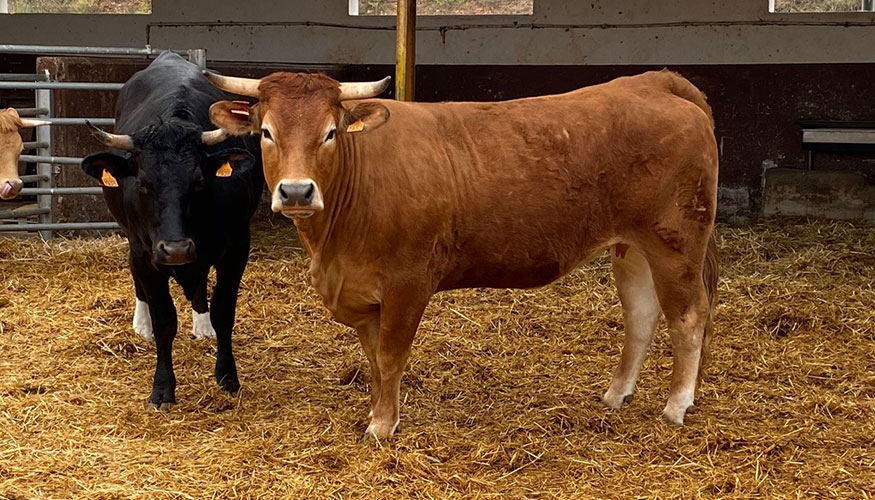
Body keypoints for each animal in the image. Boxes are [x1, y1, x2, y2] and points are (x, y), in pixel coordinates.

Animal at [82, 52, 264, 408]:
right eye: (143, 183)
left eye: (198, 182)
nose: (176, 248)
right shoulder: (144, 252)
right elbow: (165, 320)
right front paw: (163, 387)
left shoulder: (236, 247)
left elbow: (224, 311)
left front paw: (227, 375)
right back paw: (142, 324)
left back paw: (202, 324)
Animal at [209, 69, 724, 438]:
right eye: (266, 132)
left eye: (331, 132)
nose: (296, 192)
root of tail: (654, 81)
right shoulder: (364, 295)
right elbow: (374, 359)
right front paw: (378, 413)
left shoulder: (408, 283)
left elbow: (391, 355)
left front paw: (382, 426)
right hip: (633, 247)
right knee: (642, 316)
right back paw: (617, 395)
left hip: (676, 242)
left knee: (688, 317)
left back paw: (677, 405)